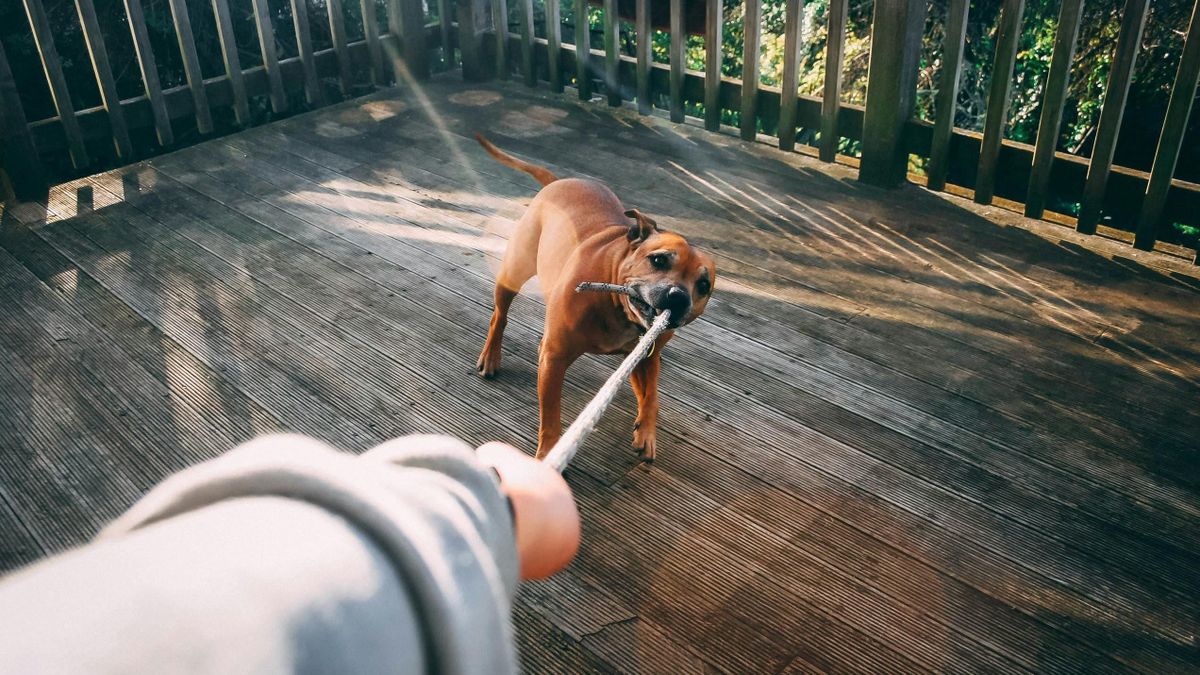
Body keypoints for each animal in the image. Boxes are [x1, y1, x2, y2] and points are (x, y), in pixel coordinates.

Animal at [472, 136, 715, 461]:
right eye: (659, 260)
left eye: (703, 285)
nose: (677, 298)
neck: (618, 310)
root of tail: (558, 181)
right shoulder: (555, 358)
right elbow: (551, 415)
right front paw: (548, 454)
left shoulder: (646, 358)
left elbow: (652, 396)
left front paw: (646, 432)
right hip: (514, 270)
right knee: (499, 315)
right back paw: (491, 356)